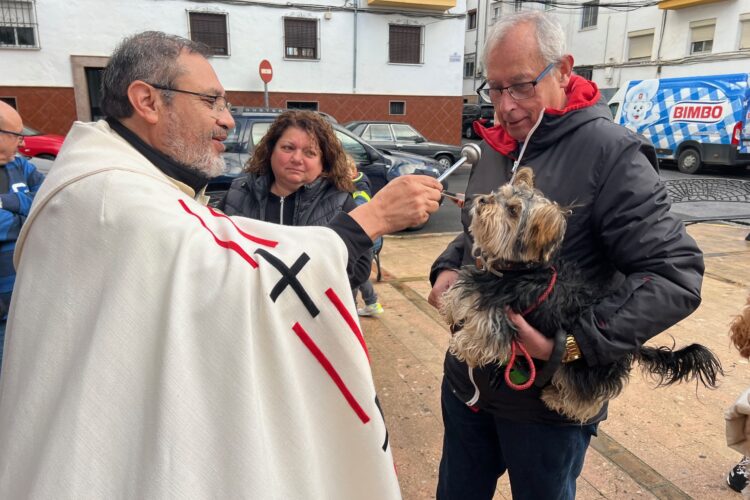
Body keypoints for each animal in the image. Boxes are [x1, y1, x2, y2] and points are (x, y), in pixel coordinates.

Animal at [444, 167, 724, 422]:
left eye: (513, 210)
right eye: (498, 194)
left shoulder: (501, 316)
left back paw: (559, 401)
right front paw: (449, 308)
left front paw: (462, 346)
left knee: (585, 396)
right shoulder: (481, 288)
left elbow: (481, 335)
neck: (515, 269)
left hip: (582, 368)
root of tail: (632, 346)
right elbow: (459, 293)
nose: (482, 200)